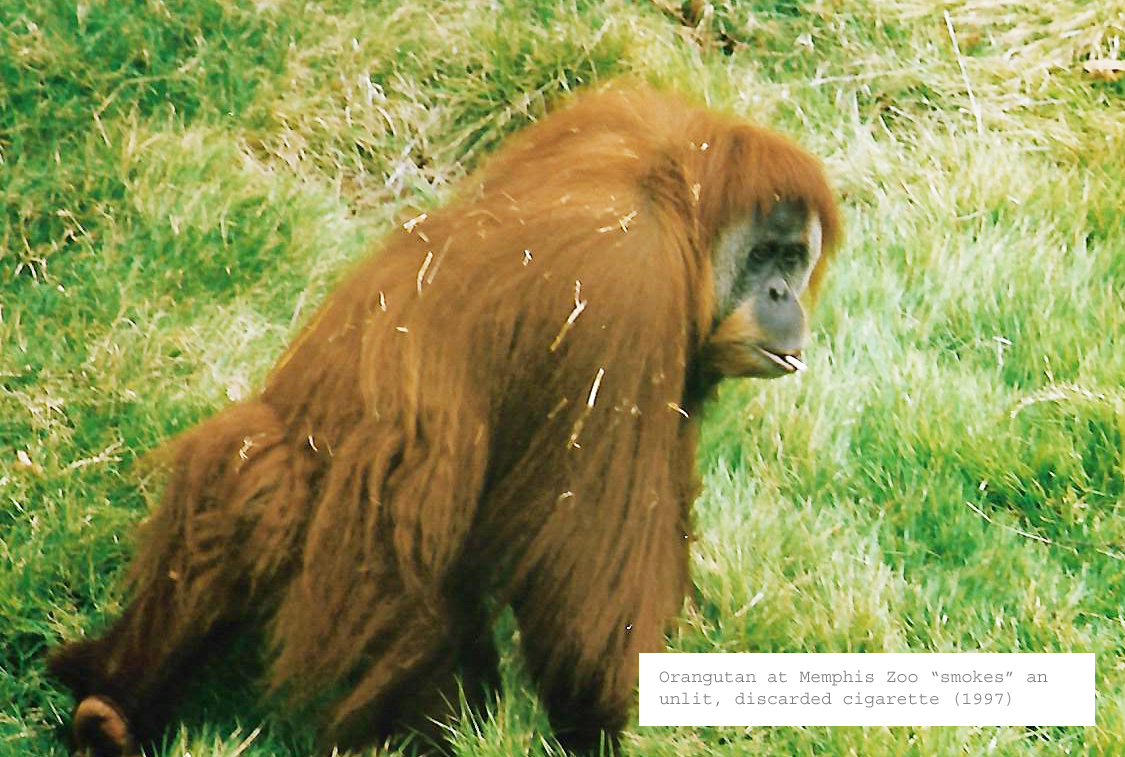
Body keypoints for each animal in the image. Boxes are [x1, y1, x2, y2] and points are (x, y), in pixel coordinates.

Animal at [48, 83, 841, 757]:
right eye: (767, 255)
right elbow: (586, 577)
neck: (675, 196)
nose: (783, 294)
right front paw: (598, 726)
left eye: (792, 258)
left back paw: (109, 701)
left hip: (244, 495)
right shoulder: (628, 292)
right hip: (356, 575)